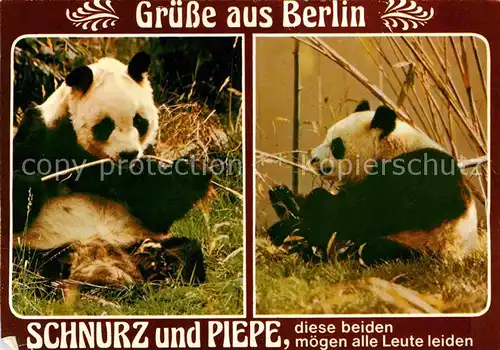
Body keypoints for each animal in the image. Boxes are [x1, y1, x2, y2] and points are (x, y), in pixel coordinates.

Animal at [11, 51, 211, 288]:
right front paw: (29, 183)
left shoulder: (142, 158)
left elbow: (157, 207)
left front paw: (192, 171)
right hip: (41, 245)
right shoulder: (42, 131)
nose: (128, 154)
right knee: (24, 265)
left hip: (135, 239)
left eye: (139, 121)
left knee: (187, 250)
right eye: (106, 125)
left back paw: (159, 265)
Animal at [268, 101, 478, 266]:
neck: (391, 148)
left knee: (376, 248)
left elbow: (367, 213)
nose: (313, 159)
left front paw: (308, 206)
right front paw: (284, 198)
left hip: (425, 244)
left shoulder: (419, 172)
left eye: (336, 145)